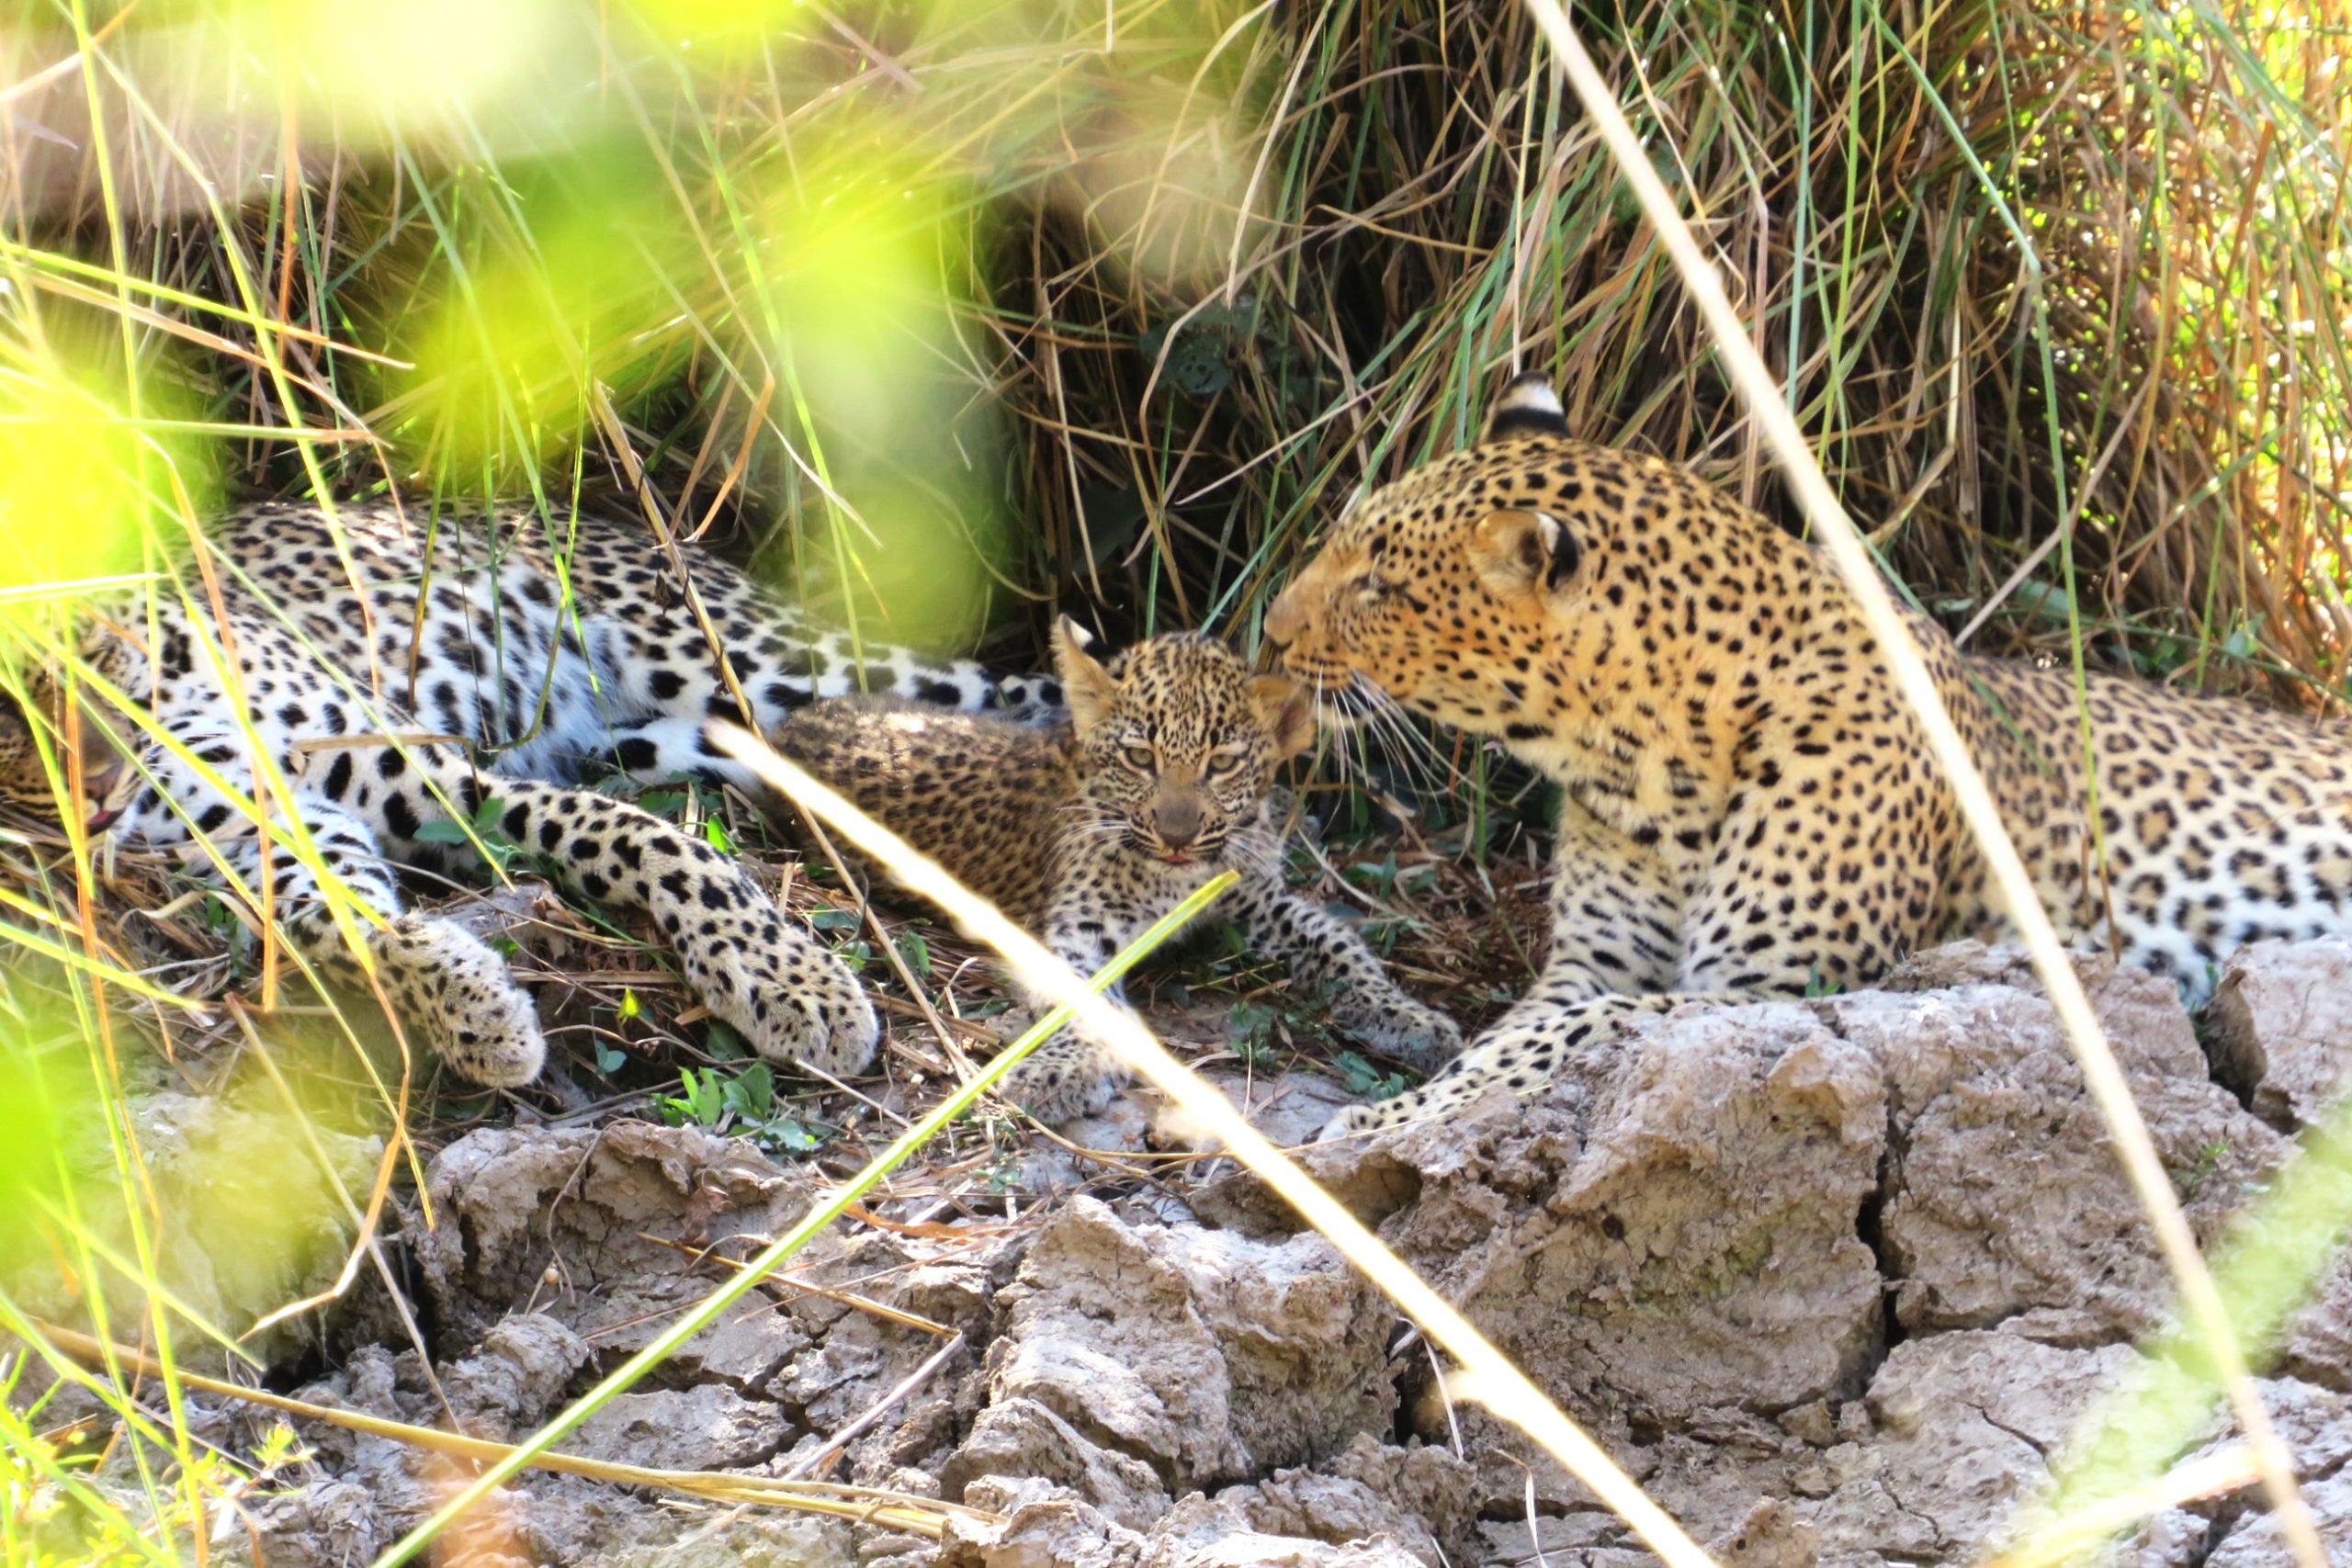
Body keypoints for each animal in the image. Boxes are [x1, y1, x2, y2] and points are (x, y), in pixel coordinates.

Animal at [771, 620, 1458, 1123]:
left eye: (1222, 764)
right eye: (1139, 757)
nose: (1178, 835)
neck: (1179, 879)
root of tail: (793, 725)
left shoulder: (1256, 900)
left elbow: (1339, 943)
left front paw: (1409, 1017)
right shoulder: (1083, 927)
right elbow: (1081, 999)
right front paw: (1061, 1071)